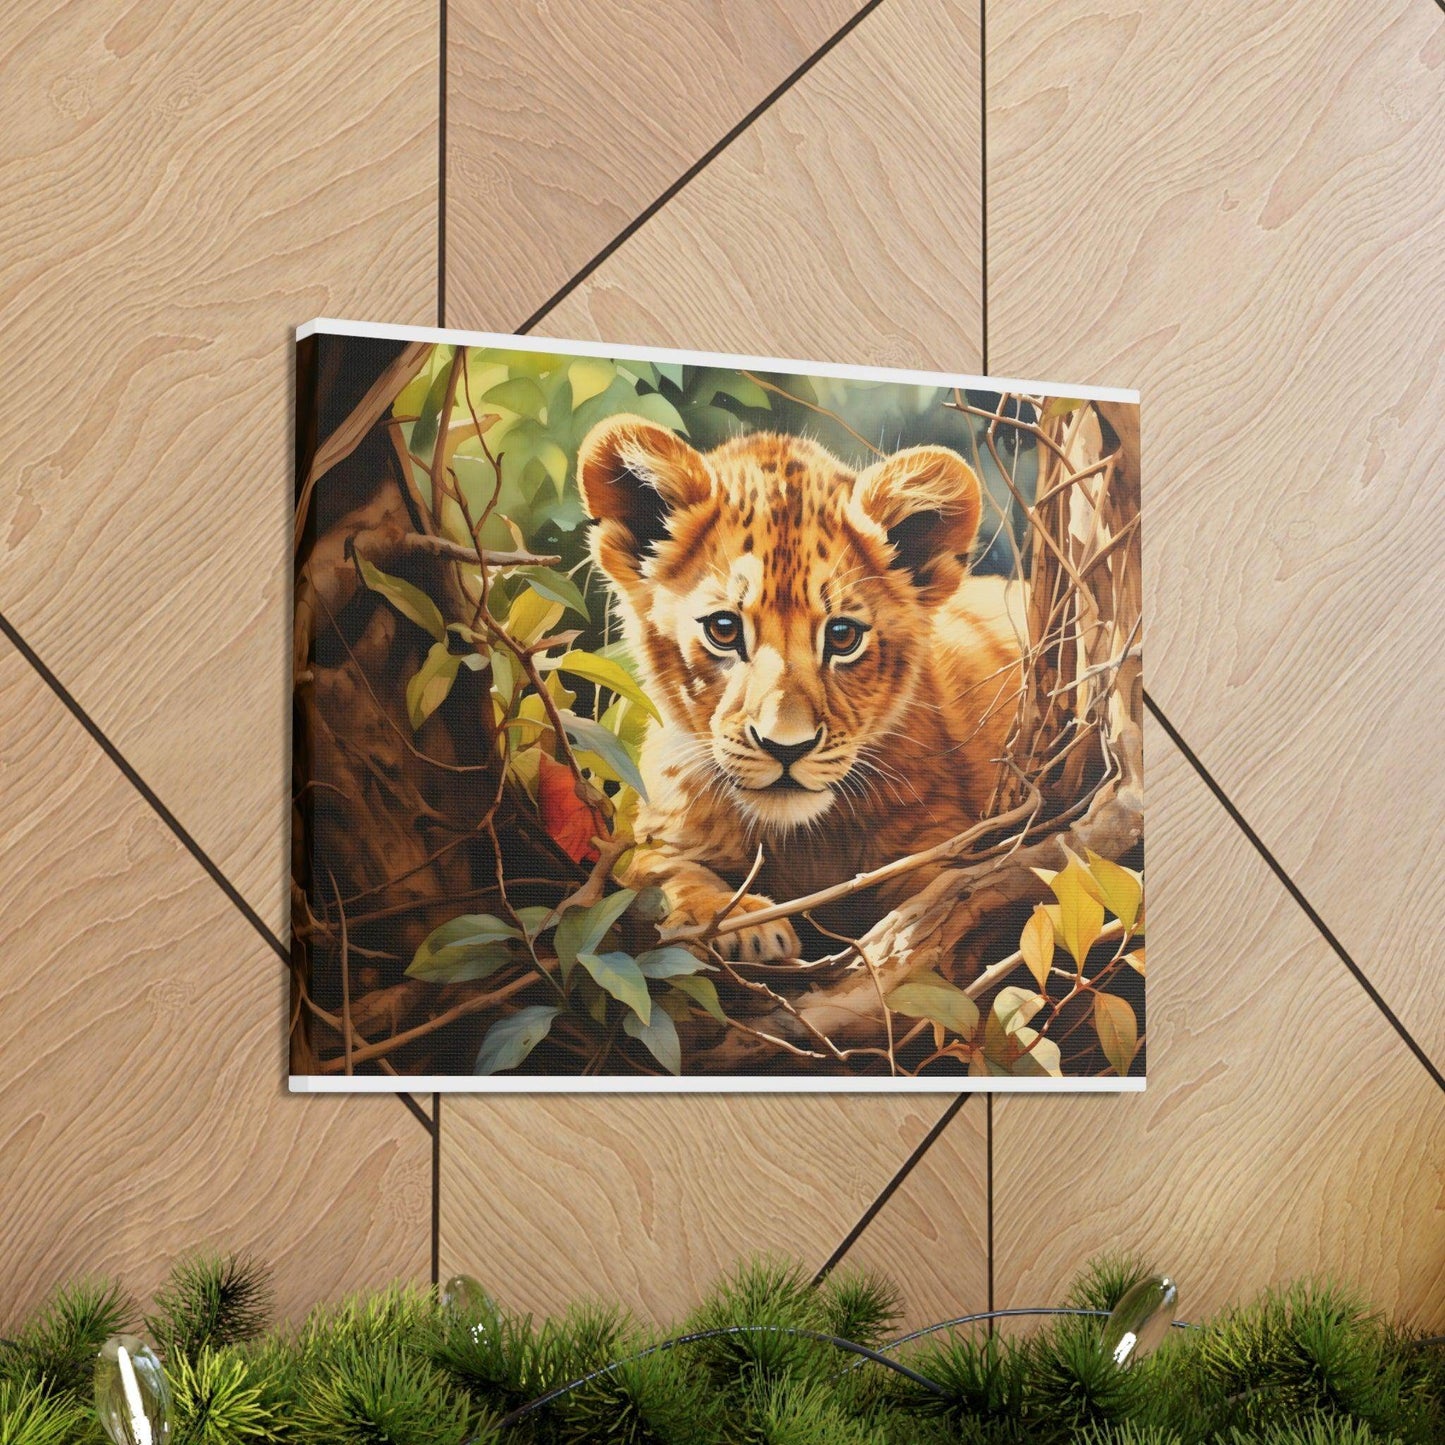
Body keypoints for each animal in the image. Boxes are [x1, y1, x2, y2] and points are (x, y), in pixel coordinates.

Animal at [577, 415, 1025, 962]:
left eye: (843, 635)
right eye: (723, 629)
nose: (785, 747)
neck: (798, 842)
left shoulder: (941, 837)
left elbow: (943, 892)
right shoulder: (653, 836)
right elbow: (660, 871)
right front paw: (738, 923)